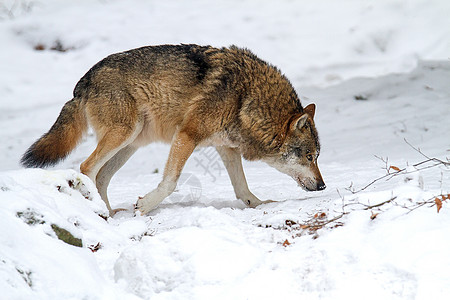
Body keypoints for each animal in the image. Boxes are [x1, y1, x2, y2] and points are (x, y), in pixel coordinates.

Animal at [21, 44, 326, 216]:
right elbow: (170, 182)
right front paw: (145, 206)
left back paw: (109, 214)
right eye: (309, 156)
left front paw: (260, 204)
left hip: (131, 143)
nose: (323, 185)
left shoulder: (226, 147)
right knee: (87, 168)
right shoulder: (187, 135)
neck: (246, 98)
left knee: (102, 177)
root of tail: (83, 82)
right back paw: (100, 213)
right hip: (124, 134)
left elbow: (242, 187)